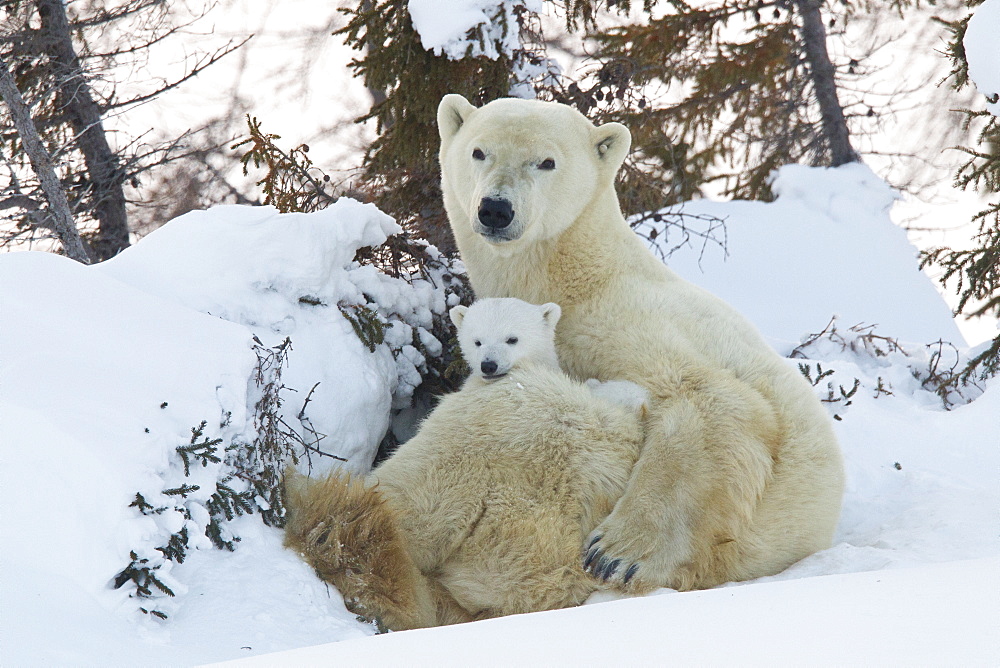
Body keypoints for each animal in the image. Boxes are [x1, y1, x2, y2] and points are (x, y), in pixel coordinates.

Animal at [438, 92, 844, 588]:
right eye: (479, 151)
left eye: (546, 161)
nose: (496, 209)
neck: (578, 278)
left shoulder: (629, 319)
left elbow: (716, 398)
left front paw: (616, 552)